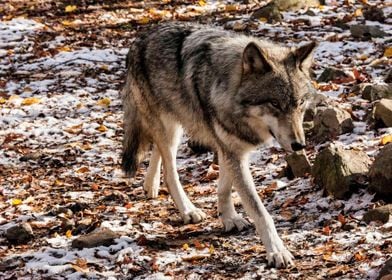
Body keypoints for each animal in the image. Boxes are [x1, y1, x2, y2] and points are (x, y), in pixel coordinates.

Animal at [121, 23, 316, 268]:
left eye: (300, 103)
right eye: (274, 104)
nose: (299, 145)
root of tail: (139, 40)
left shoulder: (231, 150)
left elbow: (224, 188)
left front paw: (229, 218)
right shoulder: (232, 151)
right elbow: (259, 211)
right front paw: (277, 251)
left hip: (174, 125)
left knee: (158, 152)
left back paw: (151, 185)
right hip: (167, 126)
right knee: (170, 170)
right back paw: (188, 209)